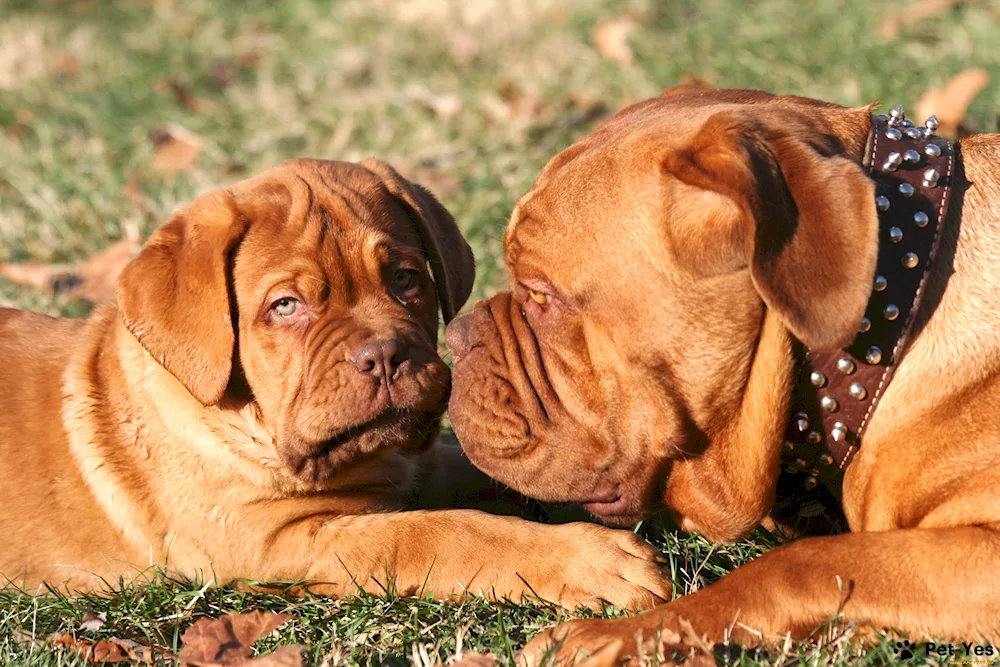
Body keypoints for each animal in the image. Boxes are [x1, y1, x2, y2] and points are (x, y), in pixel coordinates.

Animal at [1, 158, 672, 612]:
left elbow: (495, 478)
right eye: (286, 306)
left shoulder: (418, 465)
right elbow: (442, 532)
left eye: (405, 278)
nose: (385, 356)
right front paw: (588, 561)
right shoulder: (284, 541)